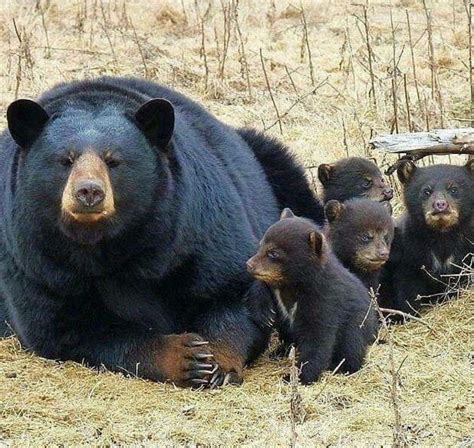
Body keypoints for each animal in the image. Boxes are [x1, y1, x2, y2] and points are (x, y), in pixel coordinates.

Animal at [0, 75, 324, 386]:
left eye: (113, 160)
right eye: (65, 160)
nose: (89, 192)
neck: (107, 244)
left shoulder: (195, 226)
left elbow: (234, 292)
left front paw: (218, 364)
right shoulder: (39, 261)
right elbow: (64, 327)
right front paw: (186, 358)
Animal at [382, 161, 474, 316]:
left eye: (454, 189)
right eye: (426, 191)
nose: (440, 205)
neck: (441, 234)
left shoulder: (467, 247)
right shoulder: (411, 251)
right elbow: (408, 288)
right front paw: (412, 312)